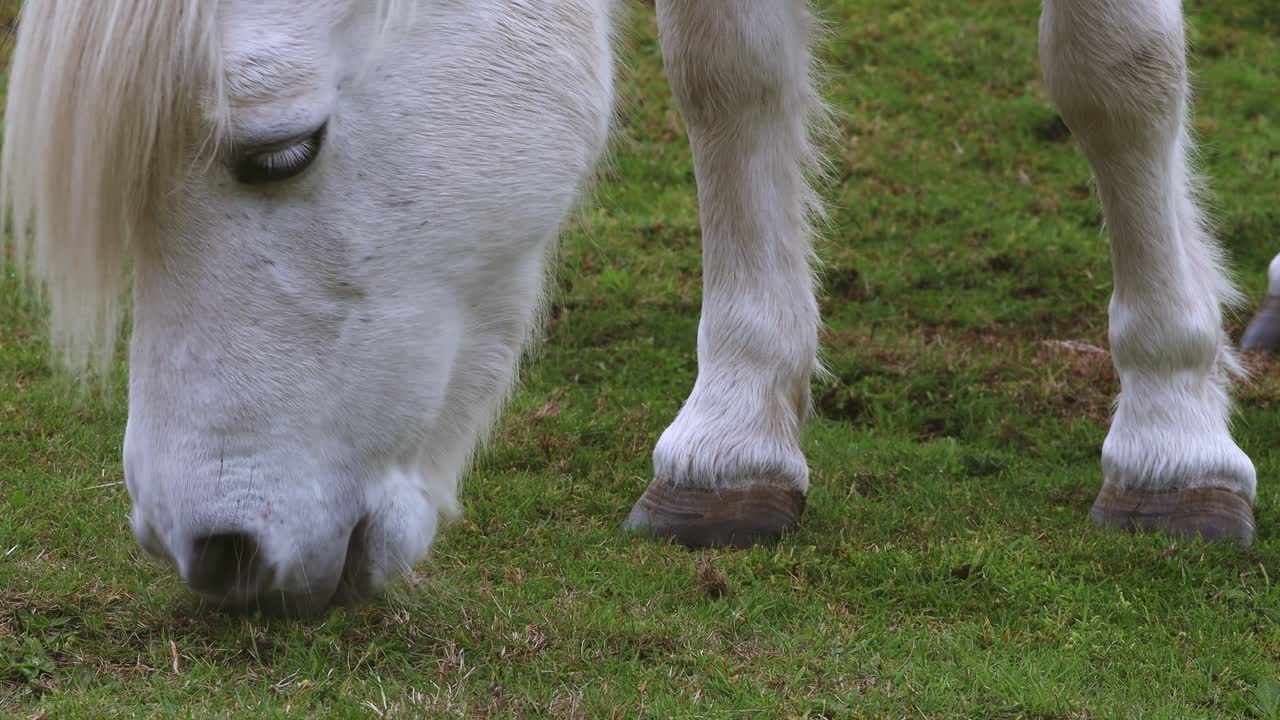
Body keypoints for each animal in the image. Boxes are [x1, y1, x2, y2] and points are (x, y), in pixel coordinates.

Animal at [0, 0, 1260, 616]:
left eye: (280, 153)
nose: (209, 552)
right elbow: (726, 66)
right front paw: (735, 438)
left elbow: (1112, 66)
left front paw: (1171, 435)